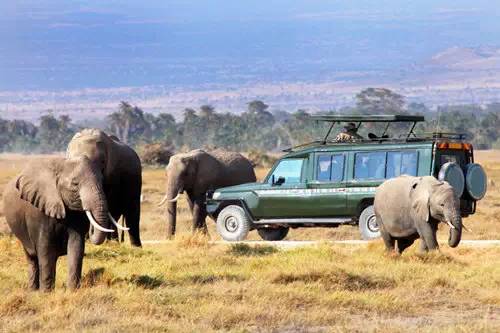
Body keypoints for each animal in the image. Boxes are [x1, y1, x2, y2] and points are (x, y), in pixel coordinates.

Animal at [2, 157, 122, 290]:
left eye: (102, 182)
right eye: (75, 184)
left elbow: (76, 246)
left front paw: (72, 290)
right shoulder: (39, 211)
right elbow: (45, 248)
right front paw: (46, 292)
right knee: (32, 258)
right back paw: (33, 290)